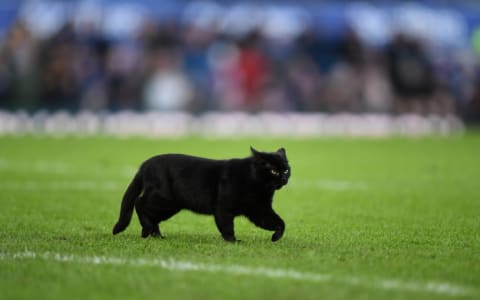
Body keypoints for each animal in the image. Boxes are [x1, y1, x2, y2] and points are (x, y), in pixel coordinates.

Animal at [112, 146, 290, 243]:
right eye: (274, 171)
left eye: (286, 170)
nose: (283, 178)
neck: (258, 185)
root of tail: (146, 164)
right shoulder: (224, 207)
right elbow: (226, 226)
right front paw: (233, 242)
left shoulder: (260, 210)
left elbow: (279, 222)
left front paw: (276, 238)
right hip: (164, 199)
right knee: (139, 203)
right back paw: (146, 230)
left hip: (170, 206)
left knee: (151, 215)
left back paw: (156, 235)